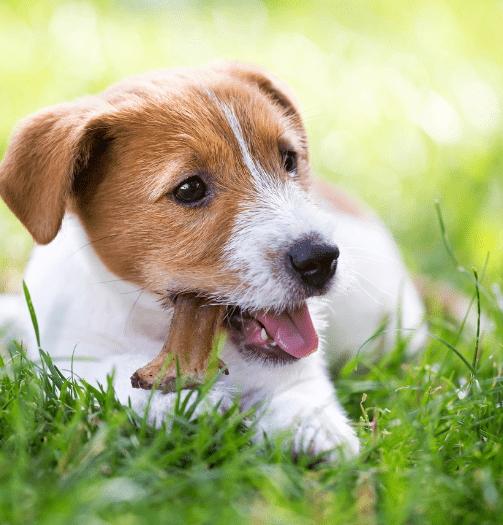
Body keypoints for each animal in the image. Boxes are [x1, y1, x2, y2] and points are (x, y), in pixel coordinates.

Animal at [0, 61, 426, 458]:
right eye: (189, 189)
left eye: (289, 159)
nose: (321, 259)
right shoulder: (65, 355)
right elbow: (104, 371)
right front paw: (177, 396)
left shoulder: (299, 370)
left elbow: (301, 390)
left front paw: (315, 427)